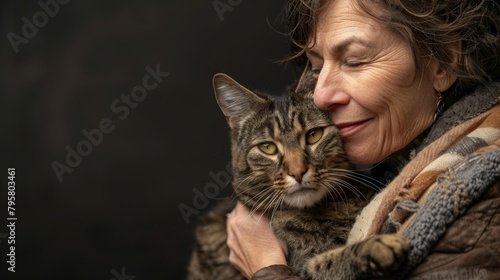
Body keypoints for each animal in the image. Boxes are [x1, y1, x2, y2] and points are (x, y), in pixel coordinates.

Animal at [186, 72, 408, 280]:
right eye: (267, 147)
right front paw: (375, 246)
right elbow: (324, 262)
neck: (324, 211)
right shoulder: (301, 265)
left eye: (314, 135)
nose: (297, 171)